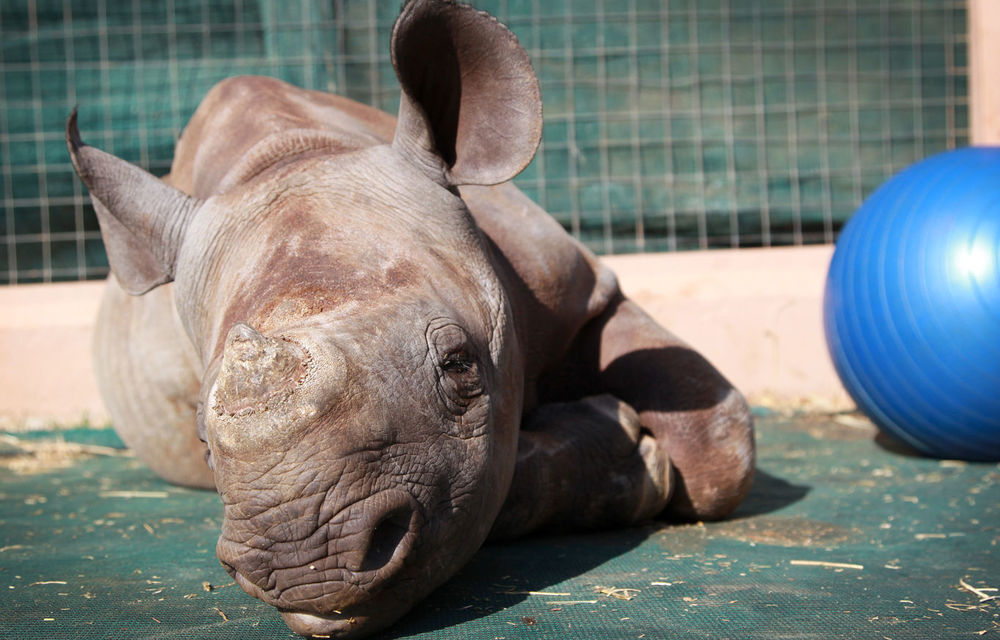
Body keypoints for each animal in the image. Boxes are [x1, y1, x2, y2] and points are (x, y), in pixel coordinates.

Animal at [66, 0, 752, 636]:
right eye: (201, 441)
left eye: (459, 364)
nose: (304, 566)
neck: (289, 152)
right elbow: (488, 493)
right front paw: (626, 451)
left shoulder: (584, 292)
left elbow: (717, 441)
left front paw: (641, 449)